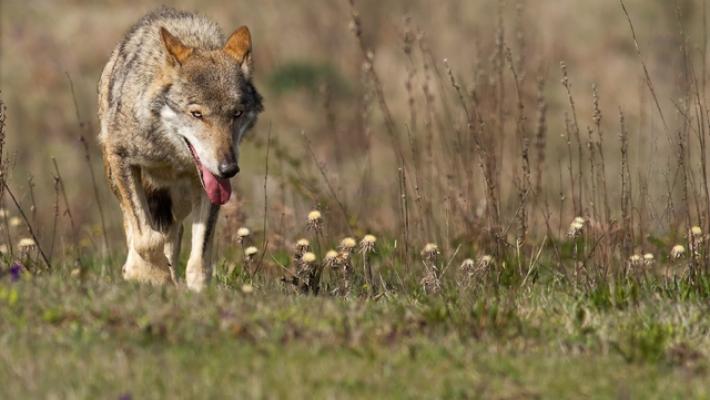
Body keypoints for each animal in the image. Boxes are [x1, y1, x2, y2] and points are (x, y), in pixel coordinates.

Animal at [98, 8, 263, 291]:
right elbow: (146, 238)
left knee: (175, 232)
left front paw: (197, 290)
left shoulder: (209, 185)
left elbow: (200, 258)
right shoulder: (122, 158)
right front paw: (152, 276)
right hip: (121, 179)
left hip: (179, 200)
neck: (169, 155)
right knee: (137, 226)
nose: (228, 169)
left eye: (236, 114)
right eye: (197, 114)